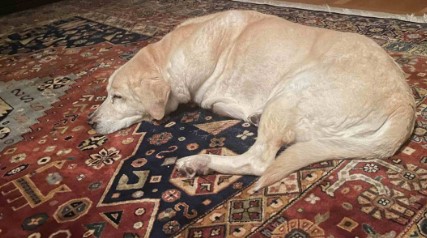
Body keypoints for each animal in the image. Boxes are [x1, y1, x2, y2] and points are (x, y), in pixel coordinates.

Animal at [88, 10, 416, 192]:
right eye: (106, 93)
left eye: (117, 97)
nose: (90, 122)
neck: (171, 53)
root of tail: (405, 104)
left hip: (288, 93)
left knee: (258, 162)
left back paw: (199, 162)